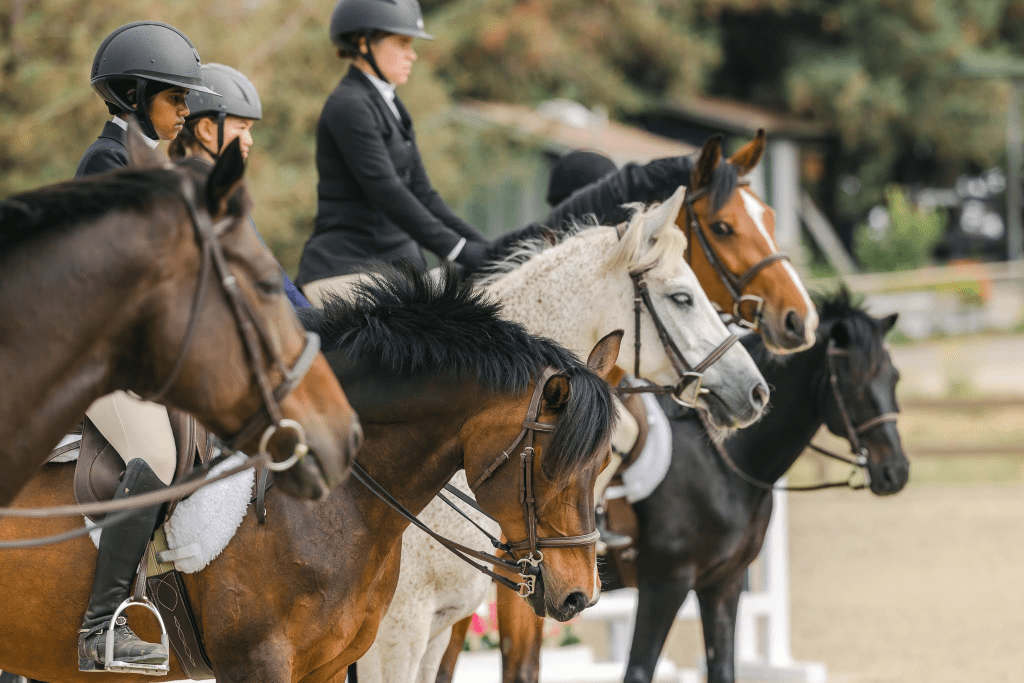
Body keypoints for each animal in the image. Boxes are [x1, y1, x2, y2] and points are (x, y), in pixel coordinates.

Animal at [498, 290, 911, 683]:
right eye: (856, 384)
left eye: (894, 378)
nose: (896, 472)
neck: (720, 462)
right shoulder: (666, 583)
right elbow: (638, 671)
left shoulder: (724, 583)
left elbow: (722, 669)